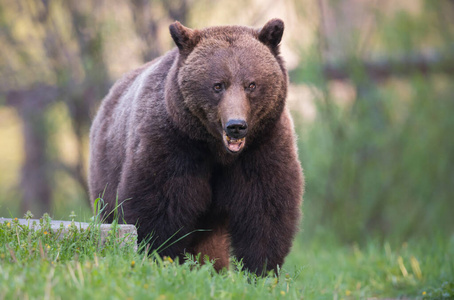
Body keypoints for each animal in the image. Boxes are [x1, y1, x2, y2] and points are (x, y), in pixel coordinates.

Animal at [88, 18, 304, 276]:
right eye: (218, 85)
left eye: (251, 84)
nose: (236, 126)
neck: (218, 150)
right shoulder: (174, 144)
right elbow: (159, 205)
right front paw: (159, 257)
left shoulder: (262, 146)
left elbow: (264, 208)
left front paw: (260, 271)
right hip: (106, 167)